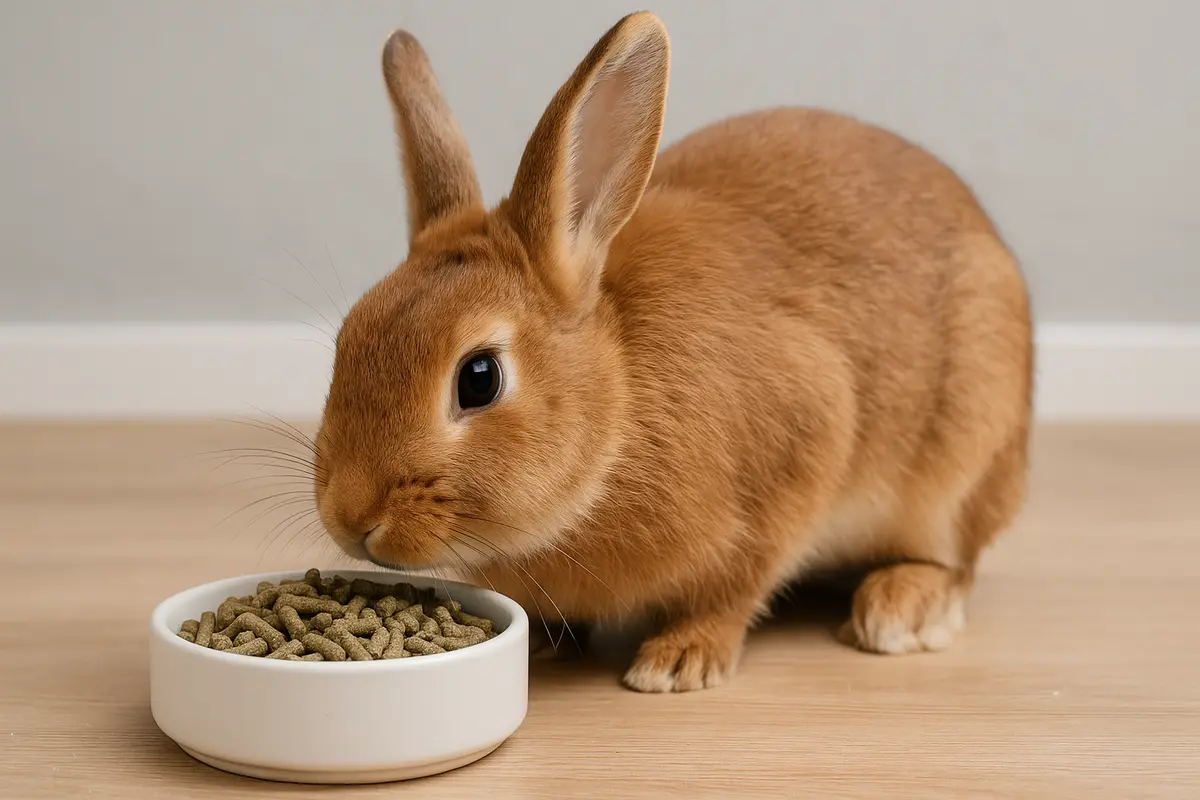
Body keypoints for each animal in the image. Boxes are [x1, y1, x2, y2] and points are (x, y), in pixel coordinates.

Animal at [313, 12, 1032, 693]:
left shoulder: (807, 441)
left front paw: (680, 661)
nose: (349, 514)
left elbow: (737, 583)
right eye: (348, 339)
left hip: (963, 462)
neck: (618, 411)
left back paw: (897, 610)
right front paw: (541, 638)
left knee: (954, 560)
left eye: (479, 378)